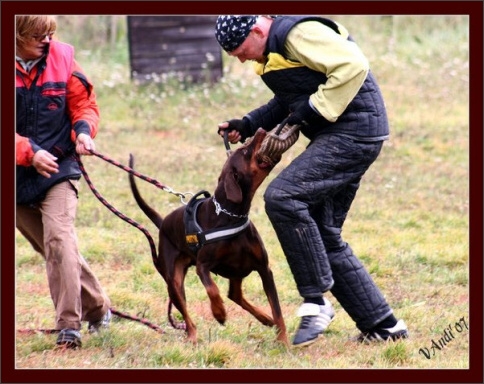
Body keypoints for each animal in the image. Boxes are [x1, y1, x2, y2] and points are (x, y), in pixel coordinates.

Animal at [127, 128, 288, 344]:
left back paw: (265, 318)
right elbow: (212, 289)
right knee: (188, 315)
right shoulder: (202, 266)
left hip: (237, 269)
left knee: (235, 294)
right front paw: (219, 313)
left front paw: (283, 340)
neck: (230, 215)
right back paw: (193, 336)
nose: (261, 130)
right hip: (173, 281)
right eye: (245, 152)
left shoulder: (264, 268)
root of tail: (163, 223)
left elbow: (277, 310)